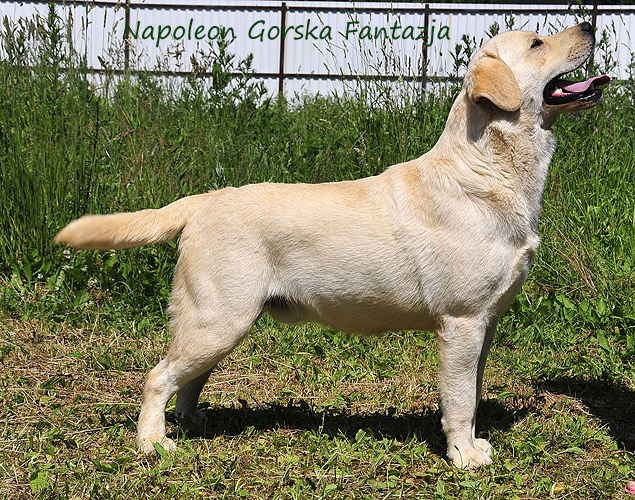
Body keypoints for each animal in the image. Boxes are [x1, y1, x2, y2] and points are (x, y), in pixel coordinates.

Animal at [57, 22, 608, 468]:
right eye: (537, 43)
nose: (588, 24)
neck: (488, 171)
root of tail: (202, 201)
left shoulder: (485, 323)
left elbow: (471, 395)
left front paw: (474, 444)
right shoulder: (462, 321)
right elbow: (458, 400)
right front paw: (463, 457)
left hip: (220, 324)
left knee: (188, 380)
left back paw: (191, 423)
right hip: (218, 318)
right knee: (158, 376)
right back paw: (153, 442)